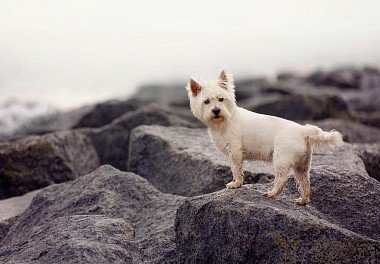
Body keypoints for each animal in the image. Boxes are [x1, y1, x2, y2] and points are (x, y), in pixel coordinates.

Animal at [186, 68, 342, 204]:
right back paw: (303, 200)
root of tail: (303, 131)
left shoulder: (235, 151)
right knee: (305, 182)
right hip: (302, 165)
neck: (225, 121)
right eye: (206, 101)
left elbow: (236, 169)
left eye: (221, 99)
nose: (216, 111)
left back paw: (271, 193)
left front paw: (236, 183)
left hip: (281, 159)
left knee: (282, 179)